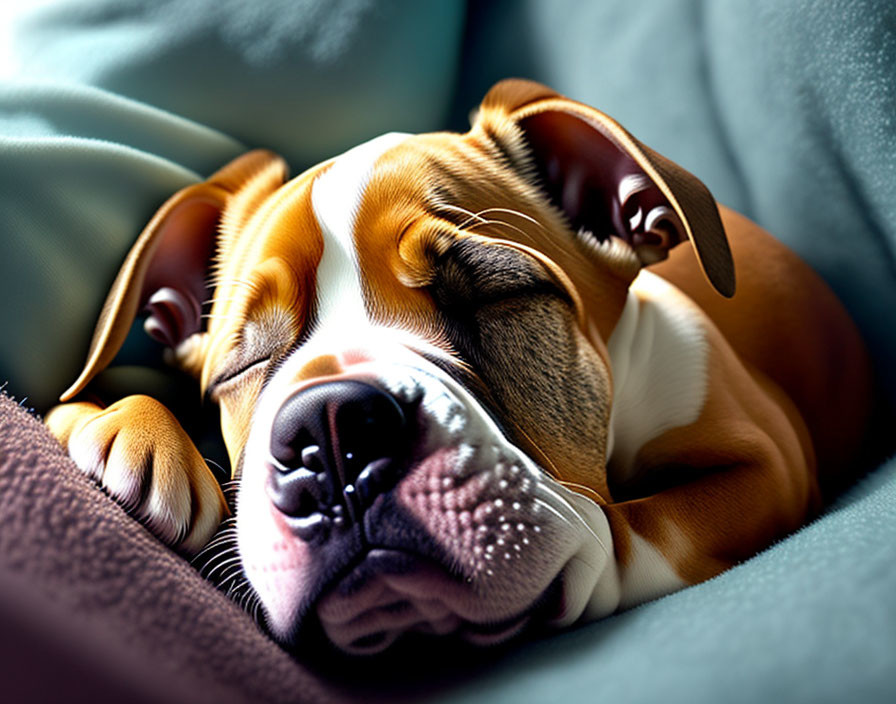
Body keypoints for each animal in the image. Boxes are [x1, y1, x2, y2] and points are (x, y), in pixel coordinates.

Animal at [45, 81, 872, 656]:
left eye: (496, 293)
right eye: (242, 366)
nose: (330, 428)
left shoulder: (766, 463)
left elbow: (632, 529)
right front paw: (123, 429)